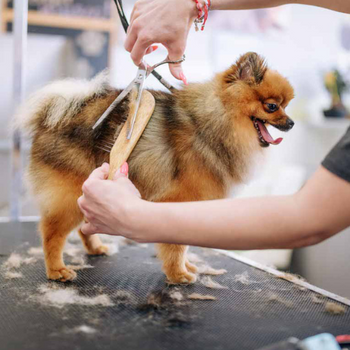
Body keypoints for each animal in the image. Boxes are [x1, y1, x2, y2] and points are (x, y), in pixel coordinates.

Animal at [16, 52, 296, 284]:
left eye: (286, 105)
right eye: (272, 106)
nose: (292, 123)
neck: (214, 123)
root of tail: (50, 117)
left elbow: (183, 245)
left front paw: (186, 267)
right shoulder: (178, 200)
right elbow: (176, 246)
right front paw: (178, 274)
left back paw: (96, 248)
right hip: (70, 194)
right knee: (51, 233)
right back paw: (57, 270)